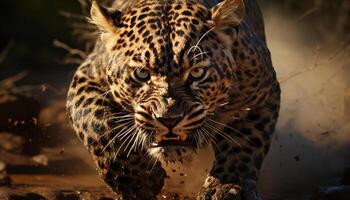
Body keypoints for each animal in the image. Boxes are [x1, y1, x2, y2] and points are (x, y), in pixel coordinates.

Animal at [66, 0, 282, 198]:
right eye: (142, 73)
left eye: (197, 73)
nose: (169, 120)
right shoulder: (87, 76)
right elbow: (98, 124)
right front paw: (137, 179)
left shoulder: (262, 92)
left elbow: (243, 144)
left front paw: (227, 188)